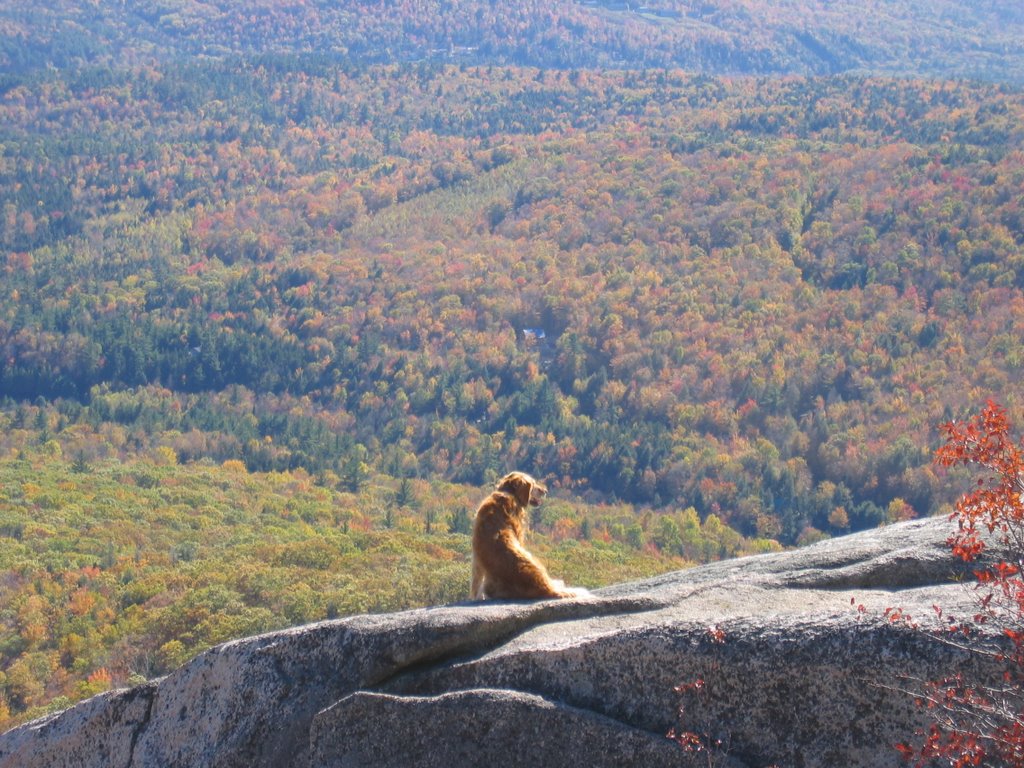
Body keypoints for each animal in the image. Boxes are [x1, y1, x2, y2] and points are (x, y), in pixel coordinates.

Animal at [468, 473, 589, 606]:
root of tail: (547, 590)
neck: (509, 492)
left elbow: (476, 582)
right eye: (533, 484)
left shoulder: (476, 561)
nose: (545, 491)